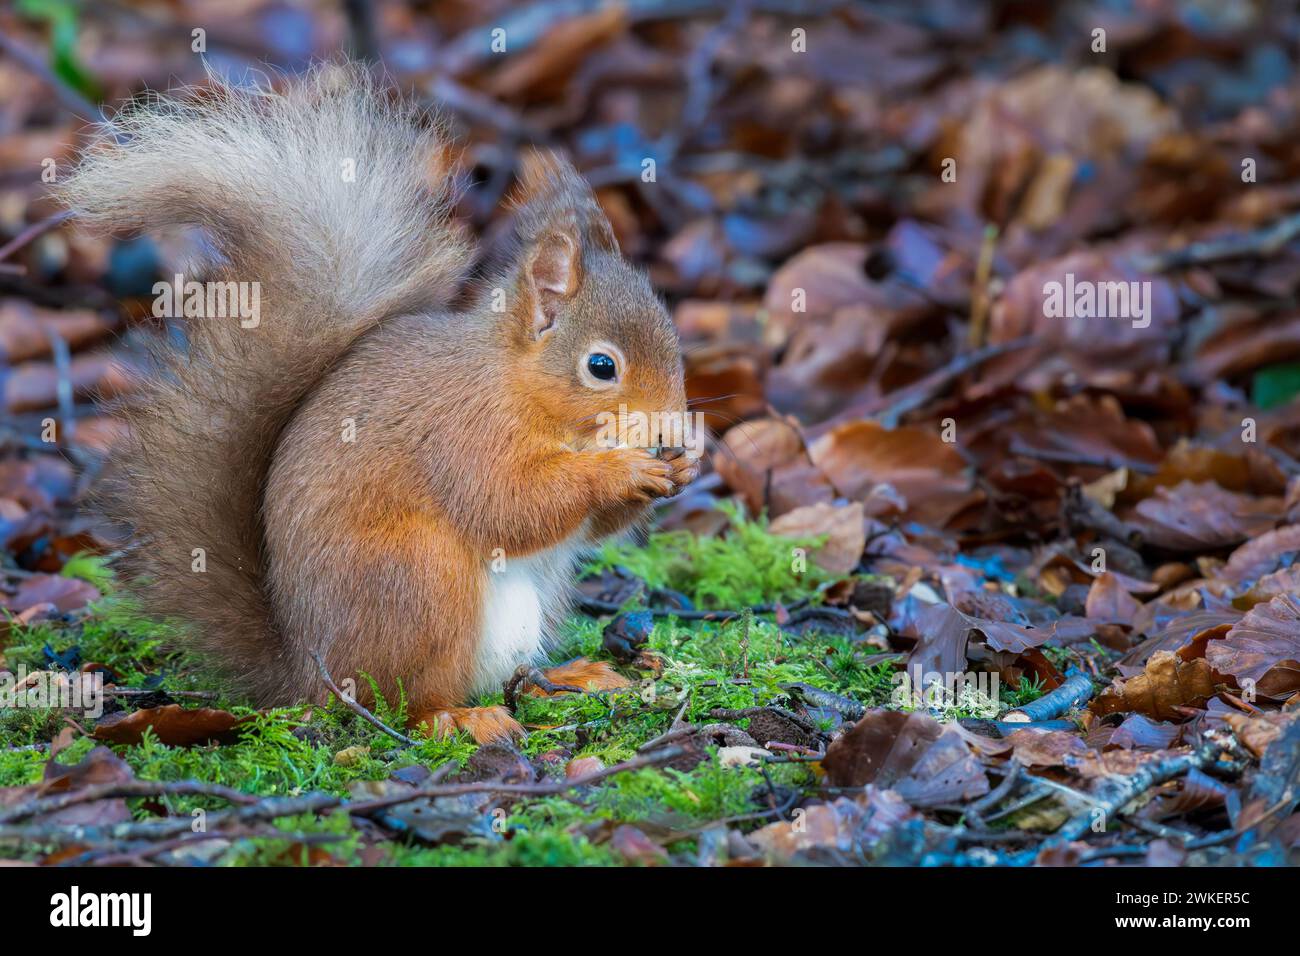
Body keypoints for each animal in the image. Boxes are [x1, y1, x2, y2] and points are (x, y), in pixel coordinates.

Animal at [60, 63, 698, 741]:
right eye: (602, 367)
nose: (671, 431)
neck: (515, 383)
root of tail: (308, 674)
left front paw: (684, 465)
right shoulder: (465, 432)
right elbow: (508, 503)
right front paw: (618, 470)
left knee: (509, 676)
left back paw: (569, 678)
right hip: (419, 581)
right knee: (403, 701)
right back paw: (460, 718)